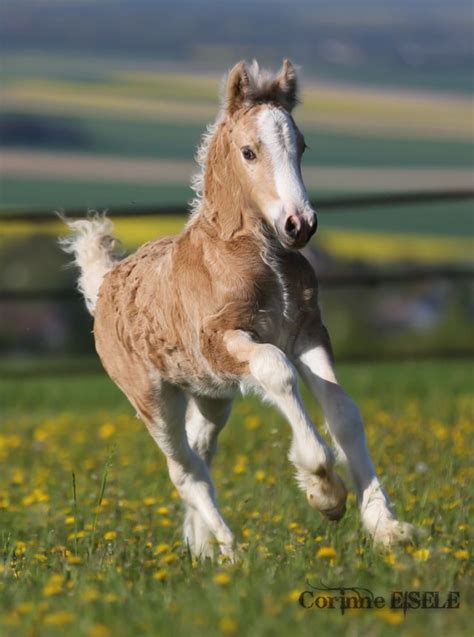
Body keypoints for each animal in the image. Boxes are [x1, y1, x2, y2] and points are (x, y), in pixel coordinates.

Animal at [63, 59, 414, 556]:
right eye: (249, 152)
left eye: (302, 146)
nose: (300, 224)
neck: (260, 258)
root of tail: (107, 283)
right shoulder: (223, 341)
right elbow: (276, 370)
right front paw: (325, 491)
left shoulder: (308, 332)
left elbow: (344, 412)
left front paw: (387, 527)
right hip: (152, 397)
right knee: (183, 468)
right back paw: (230, 548)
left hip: (211, 396)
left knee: (200, 451)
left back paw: (203, 548)